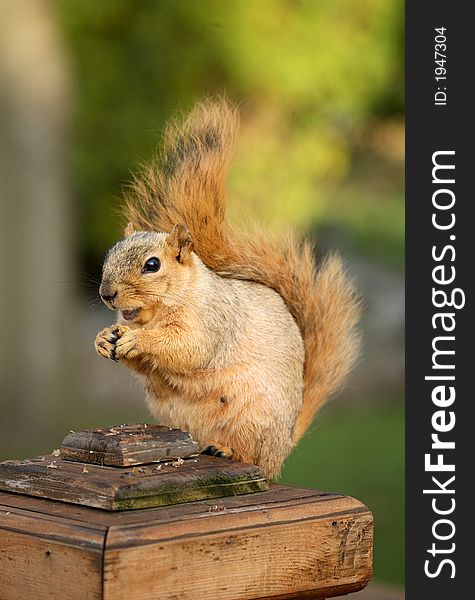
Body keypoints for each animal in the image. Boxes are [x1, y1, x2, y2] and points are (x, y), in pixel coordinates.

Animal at [95, 101, 360, 480]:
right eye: (110, 253)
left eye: (152, 265)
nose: (107, 294)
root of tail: (285, 442)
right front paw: (104, 338)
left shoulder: (215, 320)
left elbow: (190, 348)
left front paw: (139, 340)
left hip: (254, 419)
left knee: (255, 458)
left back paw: (227, 450)